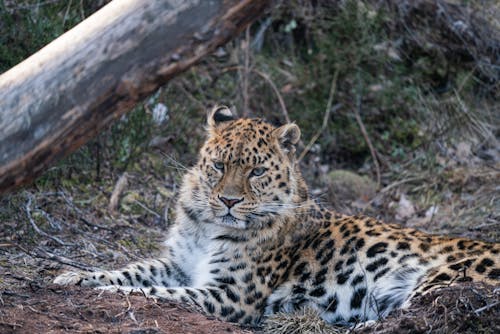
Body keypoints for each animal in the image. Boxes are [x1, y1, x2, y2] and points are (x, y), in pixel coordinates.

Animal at [52, 105, 498, 326]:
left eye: (256, 171)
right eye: (219, 165)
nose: (228, 201)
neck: (208, 227)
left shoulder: (231, 295)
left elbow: (156, 292)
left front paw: (112, 294)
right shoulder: (178, 264)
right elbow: (132, 270)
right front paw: (75, 277)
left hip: (439, 282)